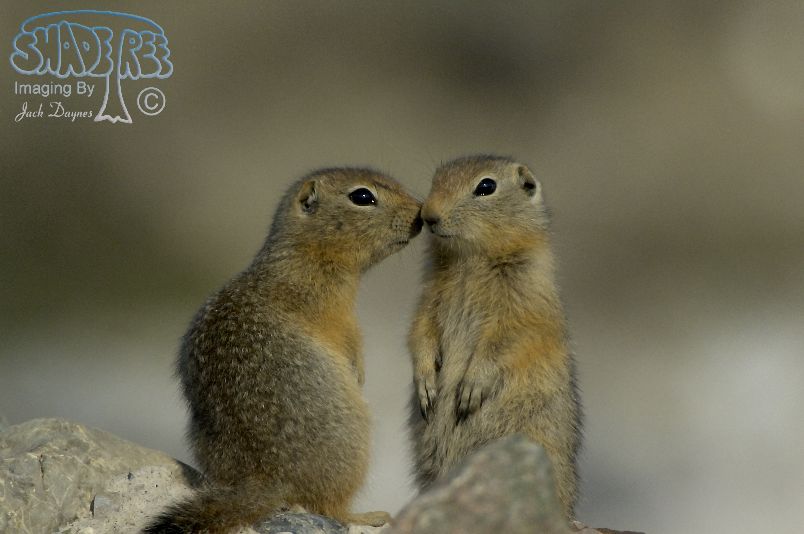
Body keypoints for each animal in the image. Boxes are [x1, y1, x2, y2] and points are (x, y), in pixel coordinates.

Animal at [144, 167, 423, 533]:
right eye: (363, 196)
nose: (421, 213)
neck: (307, 254)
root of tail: (269, 479)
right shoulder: (334, 312)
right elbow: (350, 337)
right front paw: (358, 370)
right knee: (328, 507)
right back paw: (367, 516)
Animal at [407, 155, 582, 518]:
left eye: (486, 186)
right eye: (435, 179)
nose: (428, 216)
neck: (469, 260)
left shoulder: (524, 302)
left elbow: (504, 341)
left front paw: (469, 390)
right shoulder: (428, 298)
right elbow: (420, 331)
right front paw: (427, 386)